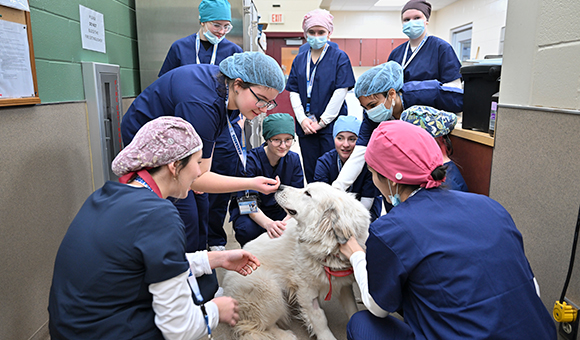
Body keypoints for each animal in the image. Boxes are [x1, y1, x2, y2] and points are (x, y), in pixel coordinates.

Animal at [220, 183, 370, 340]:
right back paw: (285, 335)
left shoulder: (344, 284)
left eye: (308, 193)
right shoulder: (306, 290)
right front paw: (326, 336)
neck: (328, 248)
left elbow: (352, 308)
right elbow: (319, 318)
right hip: (269, 290)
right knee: (255, 327)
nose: (279, 186)